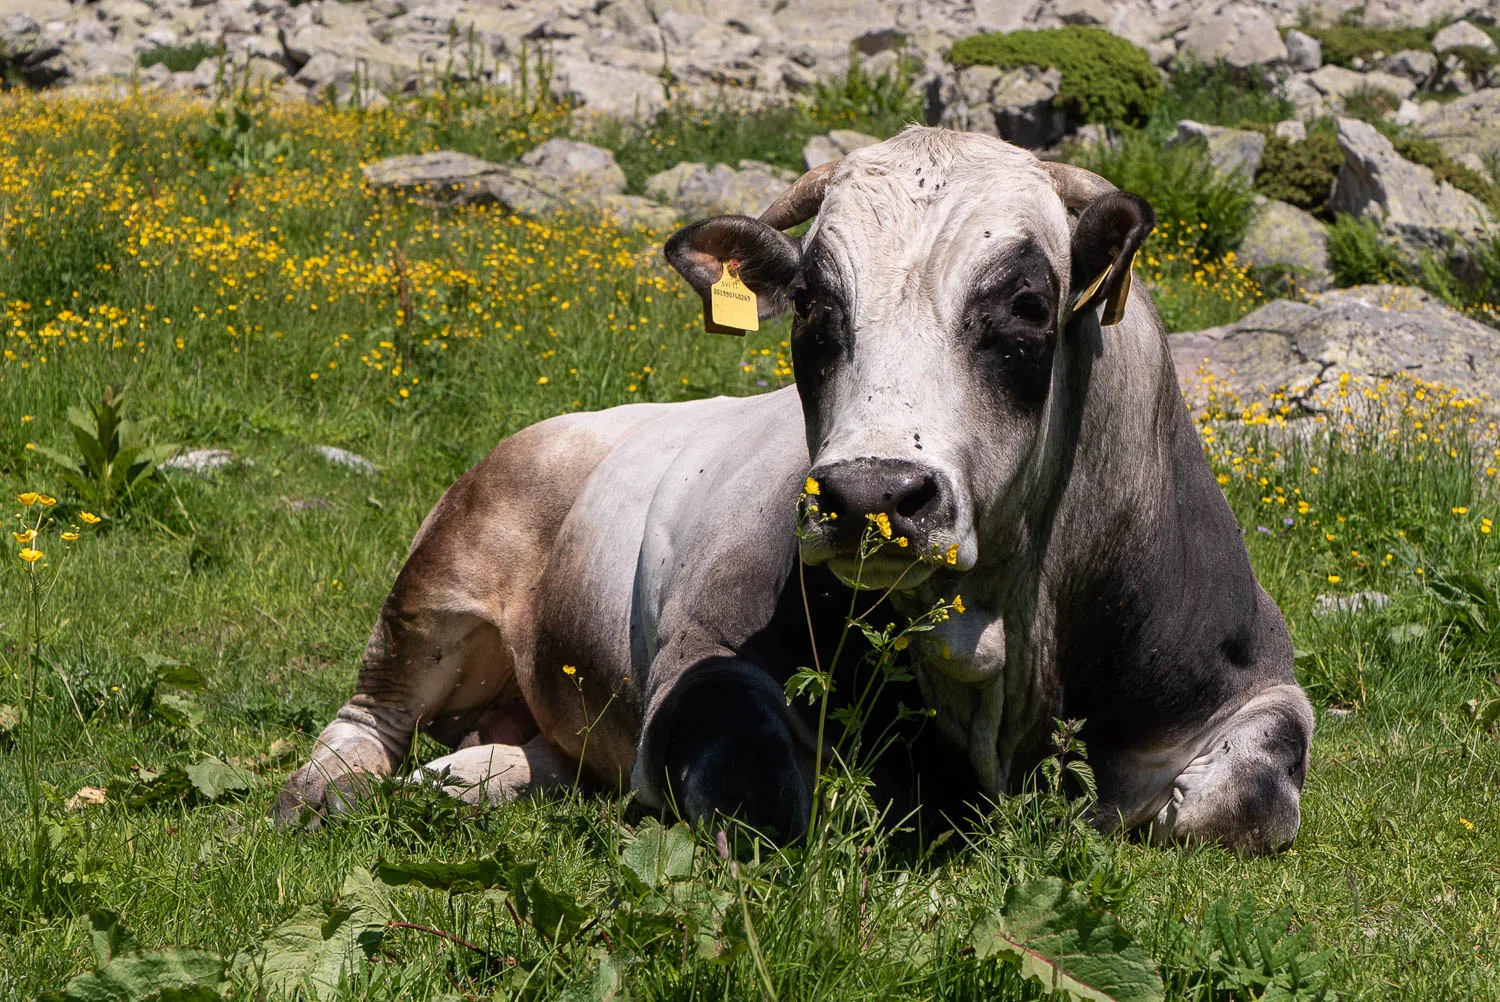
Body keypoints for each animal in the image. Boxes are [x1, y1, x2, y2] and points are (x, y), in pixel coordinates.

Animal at [273, 127, 1313, 854]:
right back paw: (325, 792)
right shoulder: (706, 660)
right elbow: (760, 792)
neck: (1003, 641)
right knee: (370, 715)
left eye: (1026, 303)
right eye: (813, 301)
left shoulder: (1250, 675)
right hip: (440, 580)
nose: (871, 495)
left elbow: (1250, 797)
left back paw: (476, 776)